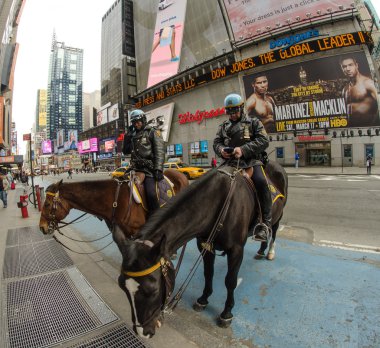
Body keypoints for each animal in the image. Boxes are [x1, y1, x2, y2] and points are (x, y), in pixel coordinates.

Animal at [117, 162, 286, 338]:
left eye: (153, 291)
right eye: (122, 287)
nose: (142, 332)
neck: (219, 202)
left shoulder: (236, 249)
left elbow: (230, 281)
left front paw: (226, 313)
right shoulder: (205, 245)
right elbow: (208, 273)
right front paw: (203, 299)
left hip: (278, 215)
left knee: (273, 230)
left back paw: (269, 250)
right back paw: (261, 250)